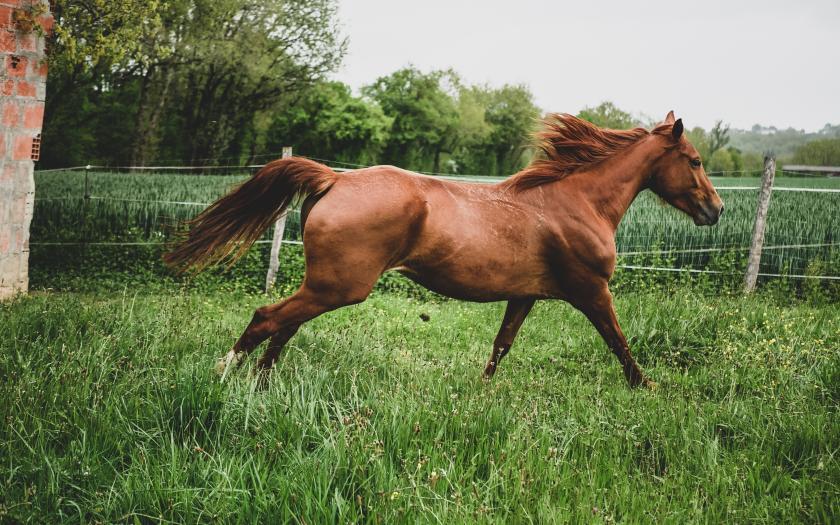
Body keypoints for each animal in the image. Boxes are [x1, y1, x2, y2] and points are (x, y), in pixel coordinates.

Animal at [164, 111, 720, 388]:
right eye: (694, 161)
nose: (714, 210)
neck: (578, 202)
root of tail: (335, 179)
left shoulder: (526, 295)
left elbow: (502, 344)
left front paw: (481, 392)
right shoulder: (592, 290)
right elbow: (619, 341)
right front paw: (645, 387)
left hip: (324, 284)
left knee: (284, 325)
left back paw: (261, 386)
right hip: (339, 286)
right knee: (267, 318)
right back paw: (225, 376)